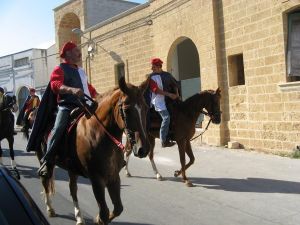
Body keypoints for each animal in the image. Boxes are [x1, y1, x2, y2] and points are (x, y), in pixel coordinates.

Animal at [37, 76, 150, 224]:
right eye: (126, 110)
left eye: (146, 108)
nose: (143, 149)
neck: (99, 134)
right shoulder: (96, 179)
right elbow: (104, 212)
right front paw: (99, 219)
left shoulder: (113, 176)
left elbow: (117, 208)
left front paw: (98, 219)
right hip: (44, 160)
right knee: (45, 180)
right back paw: (50, 209)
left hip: (72, 168)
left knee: (73, 189)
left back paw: (79, 216)